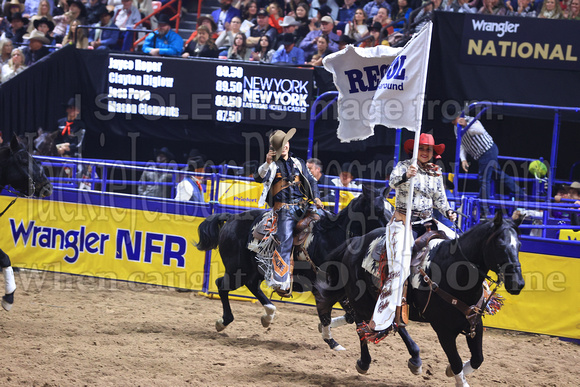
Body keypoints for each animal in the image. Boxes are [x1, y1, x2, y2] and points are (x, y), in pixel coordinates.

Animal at [197, 186, 392, 350]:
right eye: (379, 210)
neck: (330, 237)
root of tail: (231, 218)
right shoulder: (323, 287)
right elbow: (330, 315)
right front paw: (332, 341)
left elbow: (350, 316)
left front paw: (324, 330)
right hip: (237, 270)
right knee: (221, 285)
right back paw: (223, 321)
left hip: (254, 270)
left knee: (251, 286)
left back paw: (268, 315)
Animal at [318, 214, 524, 386]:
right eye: (500, 245)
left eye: (519, 245)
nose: (518, 283)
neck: (454, 272)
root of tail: (355, 241)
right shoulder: (444, 330)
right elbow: (456, 362)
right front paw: (457, 376)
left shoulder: (474, 323)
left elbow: (477, 359)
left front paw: (451, 372)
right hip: (360, 300)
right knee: (360, 325)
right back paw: (363, 361)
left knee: (391, 324)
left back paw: (415, 359)